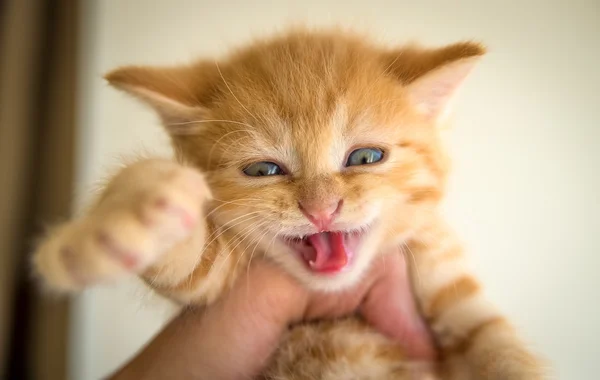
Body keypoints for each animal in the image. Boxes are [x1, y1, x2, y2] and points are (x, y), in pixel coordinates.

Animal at [35, 29, 548, 380]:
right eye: (265, 170)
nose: (322, 209)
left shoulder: (445, 274)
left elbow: (494, 341)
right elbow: (194, 263)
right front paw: (120, 219)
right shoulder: (224, 280)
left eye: (365, 157)